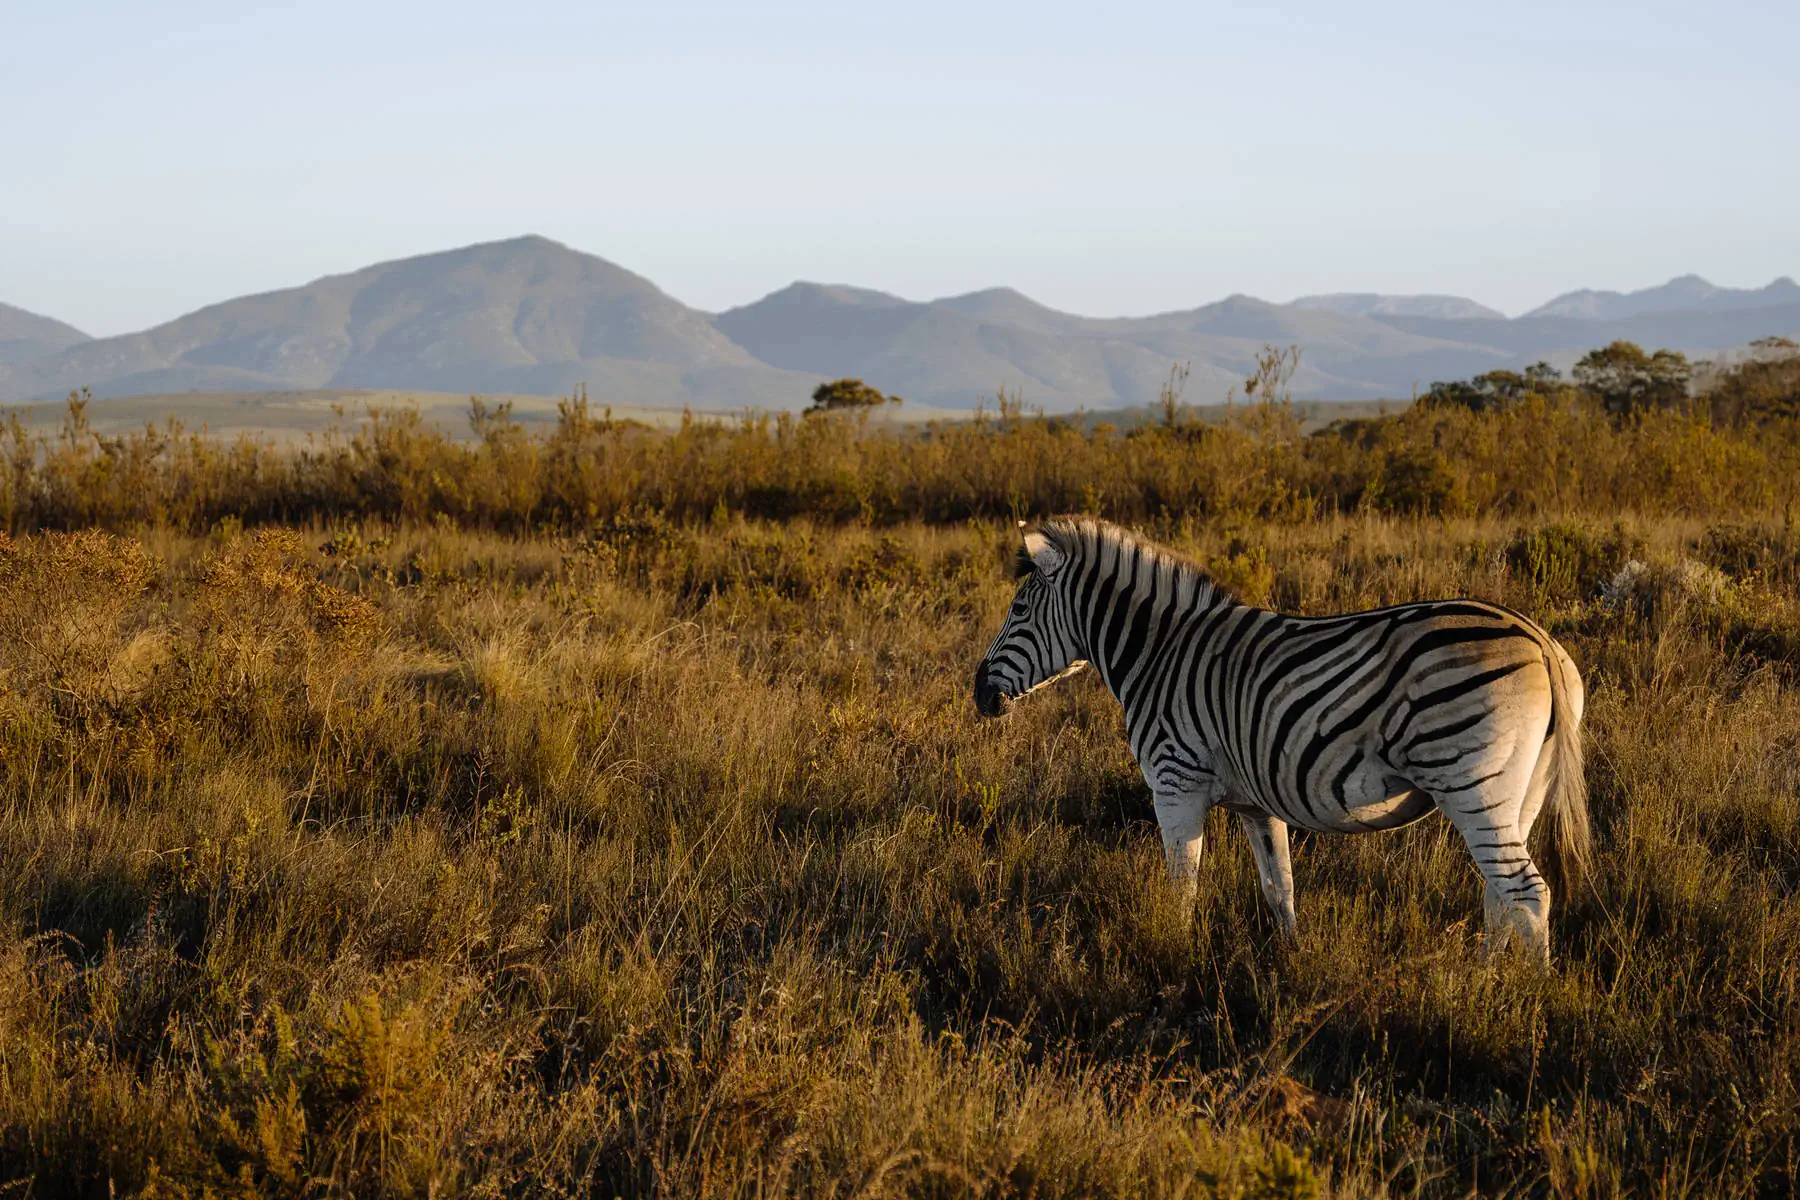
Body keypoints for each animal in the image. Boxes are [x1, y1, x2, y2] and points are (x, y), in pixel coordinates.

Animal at [972, 518, 1591, 957]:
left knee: (1527, 894)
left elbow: (1181, 889)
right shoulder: (1256, 800)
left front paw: (1173, 959)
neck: (1160, 653)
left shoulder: (1175, 783)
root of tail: (1537, 638)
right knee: (1501, 896)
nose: (978, 693)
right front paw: (1290, 965)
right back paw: (1483, 981)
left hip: (1471, 784)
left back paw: (1527, 1004)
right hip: (1522, 790)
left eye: (1019, 609)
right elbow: (1280, 888)